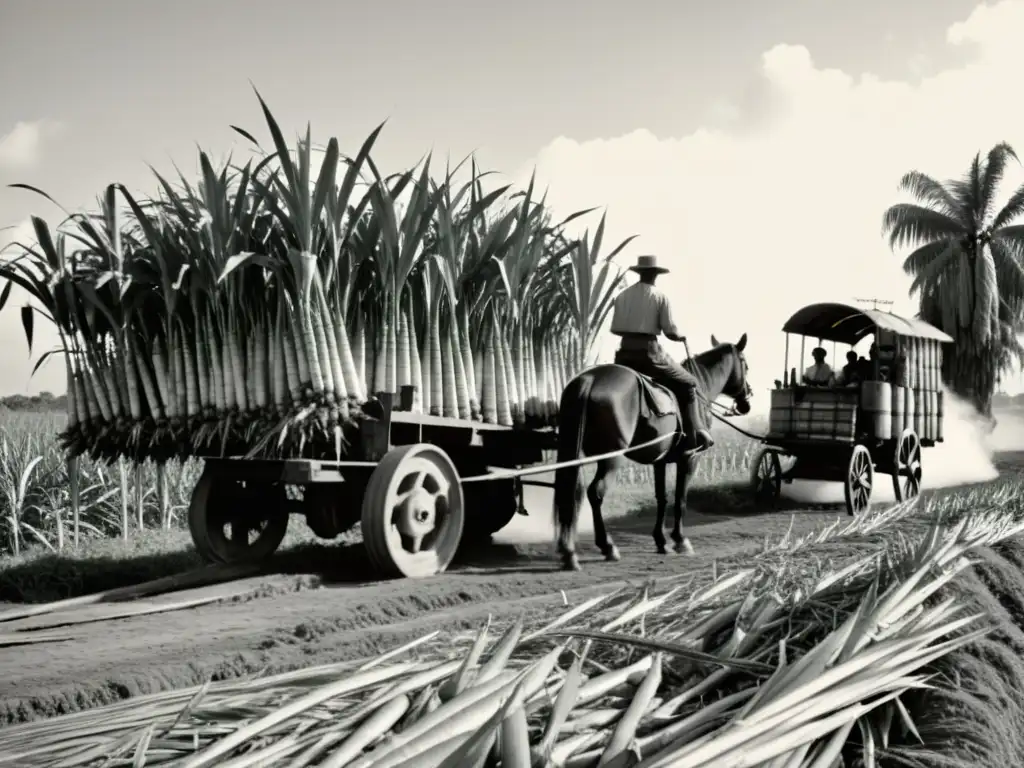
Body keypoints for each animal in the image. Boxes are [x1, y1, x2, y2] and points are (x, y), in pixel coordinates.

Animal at [552, 335, 753, 573]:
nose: (747, 400)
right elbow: (680, 499)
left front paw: (660, 541)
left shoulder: (660, 461)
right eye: (745, 365)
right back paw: (606, 546)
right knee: (595, 492)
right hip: (611, 458)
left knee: (573, 492)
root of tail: (591, 379)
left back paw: (568, 551)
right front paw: (680, 540)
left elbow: (662, 498)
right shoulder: (689, 458)